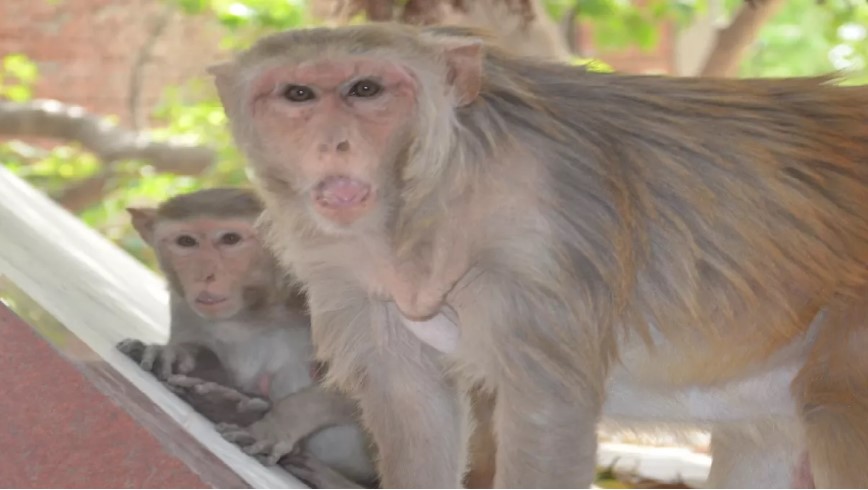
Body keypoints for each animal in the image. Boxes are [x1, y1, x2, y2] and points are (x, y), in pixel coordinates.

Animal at [115, 188, 377, 489]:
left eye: (230, 239)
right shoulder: (184, 306)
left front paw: (277, 424)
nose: (205, 274)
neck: (251, 313)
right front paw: (178, 354)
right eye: (186, 241)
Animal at [208, 23, 868, 488]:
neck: (424, 204)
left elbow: (548, 416)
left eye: (364, 89)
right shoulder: (350, 278)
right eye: (297, 94)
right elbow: (414, 408)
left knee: (837, 407)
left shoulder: (537, 238)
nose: (333, 142)